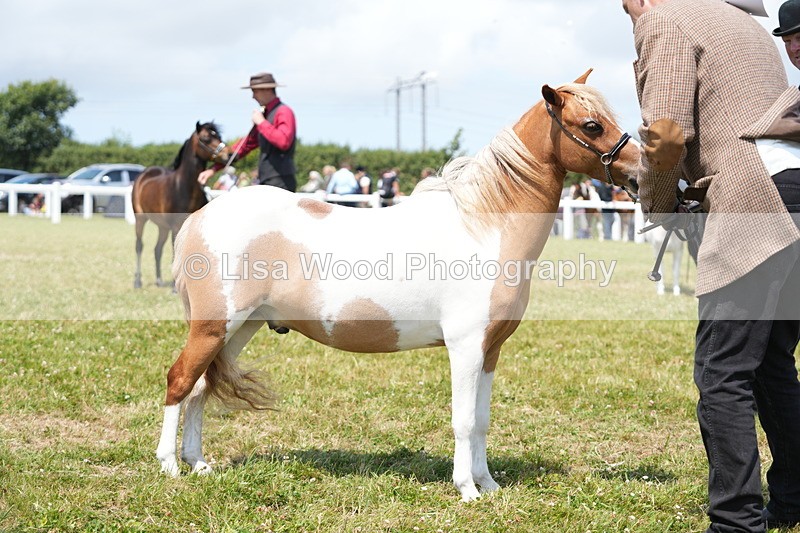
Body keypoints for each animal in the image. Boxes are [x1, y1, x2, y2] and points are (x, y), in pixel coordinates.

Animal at [132, 121, 231, 288]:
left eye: (218, 136)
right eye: (206, 138)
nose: (228, 155)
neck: (184, 187)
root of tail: (144, 174)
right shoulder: (176, 226)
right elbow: (175, 253)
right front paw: (175, 287)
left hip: (163, 227)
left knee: (157, 249)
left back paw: (159, 280)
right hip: (141, 218)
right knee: (139, 246)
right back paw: (138, 281)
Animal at [155, 70, 641, 502]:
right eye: (592, 125)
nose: (640, 173)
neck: (484, 226)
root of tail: (200, 217)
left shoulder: (490, 350)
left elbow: (482, 420)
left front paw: (488, 484)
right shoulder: (465, 347)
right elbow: (463, 420)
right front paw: (467, 490)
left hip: (240, 329)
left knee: (200, 387)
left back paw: (199, 463)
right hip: (214, 325)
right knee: (180, 380)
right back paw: (170, 466)